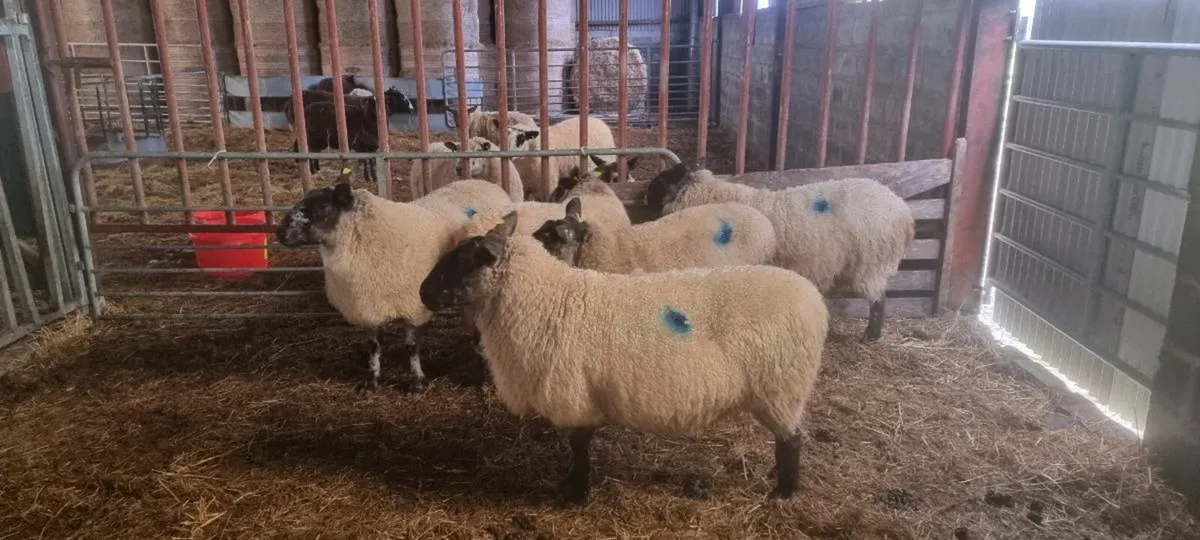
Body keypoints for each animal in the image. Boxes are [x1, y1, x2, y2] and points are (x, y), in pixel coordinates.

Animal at [275, 169, 511, 393]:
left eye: (322, 207)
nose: (279, 232)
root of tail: (481, 182)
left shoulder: (414, 306)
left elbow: (411, 346)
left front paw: (417, 383)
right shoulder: (367, 305)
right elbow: (373, 346)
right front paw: (371, 381)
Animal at [419, 212, 829, 505]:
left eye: (465, 260)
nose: (423, 293)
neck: (550, 300)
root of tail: (813, 299)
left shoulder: (574, 396)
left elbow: (579, 448)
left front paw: (574, 494)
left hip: (782, 388)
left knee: (791, 441)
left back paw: (782, 493)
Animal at [646, 163, 914, 342]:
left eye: (659, 183)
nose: (644, 200)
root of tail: (904, 212)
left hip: (873, 261)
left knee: (878, 299)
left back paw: (871, 335)